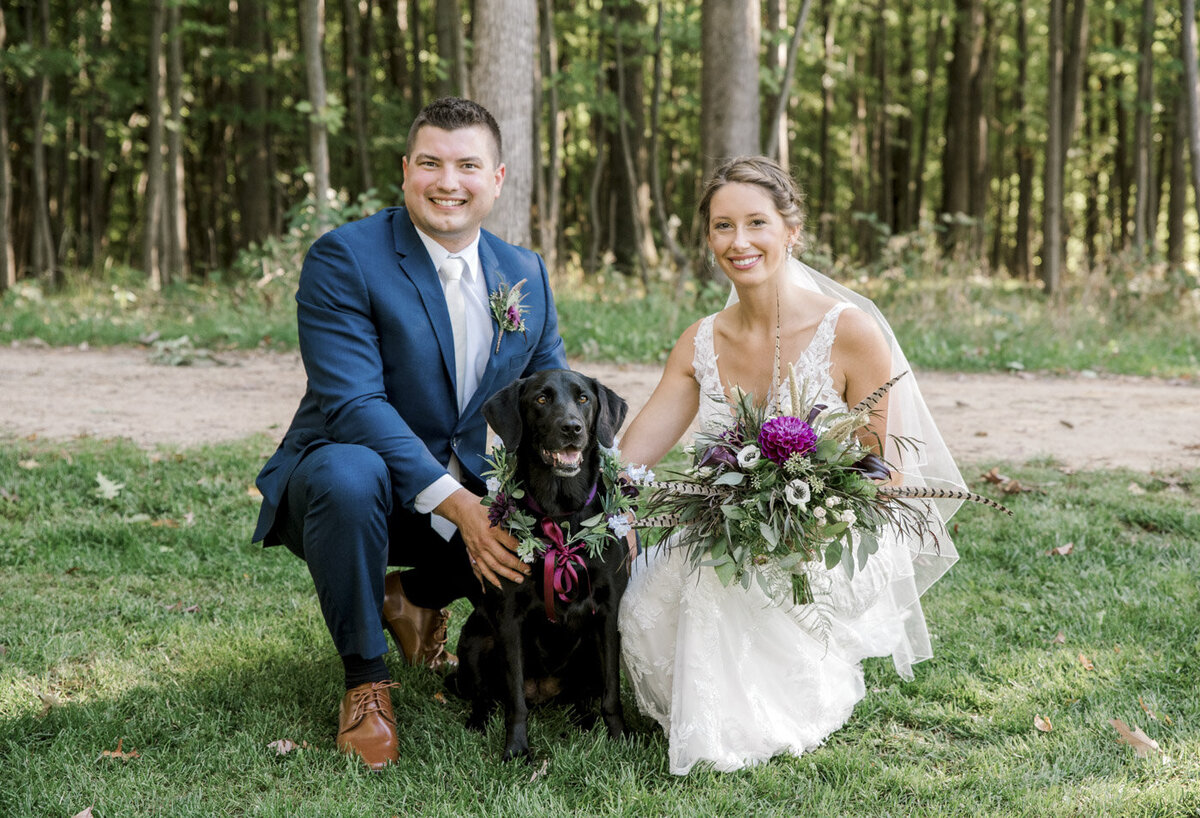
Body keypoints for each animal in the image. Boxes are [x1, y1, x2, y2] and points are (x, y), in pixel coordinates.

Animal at [451, 367, 633, 758]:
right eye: (541, 398)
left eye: (584, 399)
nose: (572, 428)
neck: (561, 514)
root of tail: (544, 693)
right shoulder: (509, 617)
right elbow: (514, 700)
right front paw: (516, 750)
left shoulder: (608, 612)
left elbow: (612, 694)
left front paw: (620, 737)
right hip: (474, 639)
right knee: (486, 696)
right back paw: (478, 722)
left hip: (588, 652)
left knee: (582, 696)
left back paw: (585, 721)